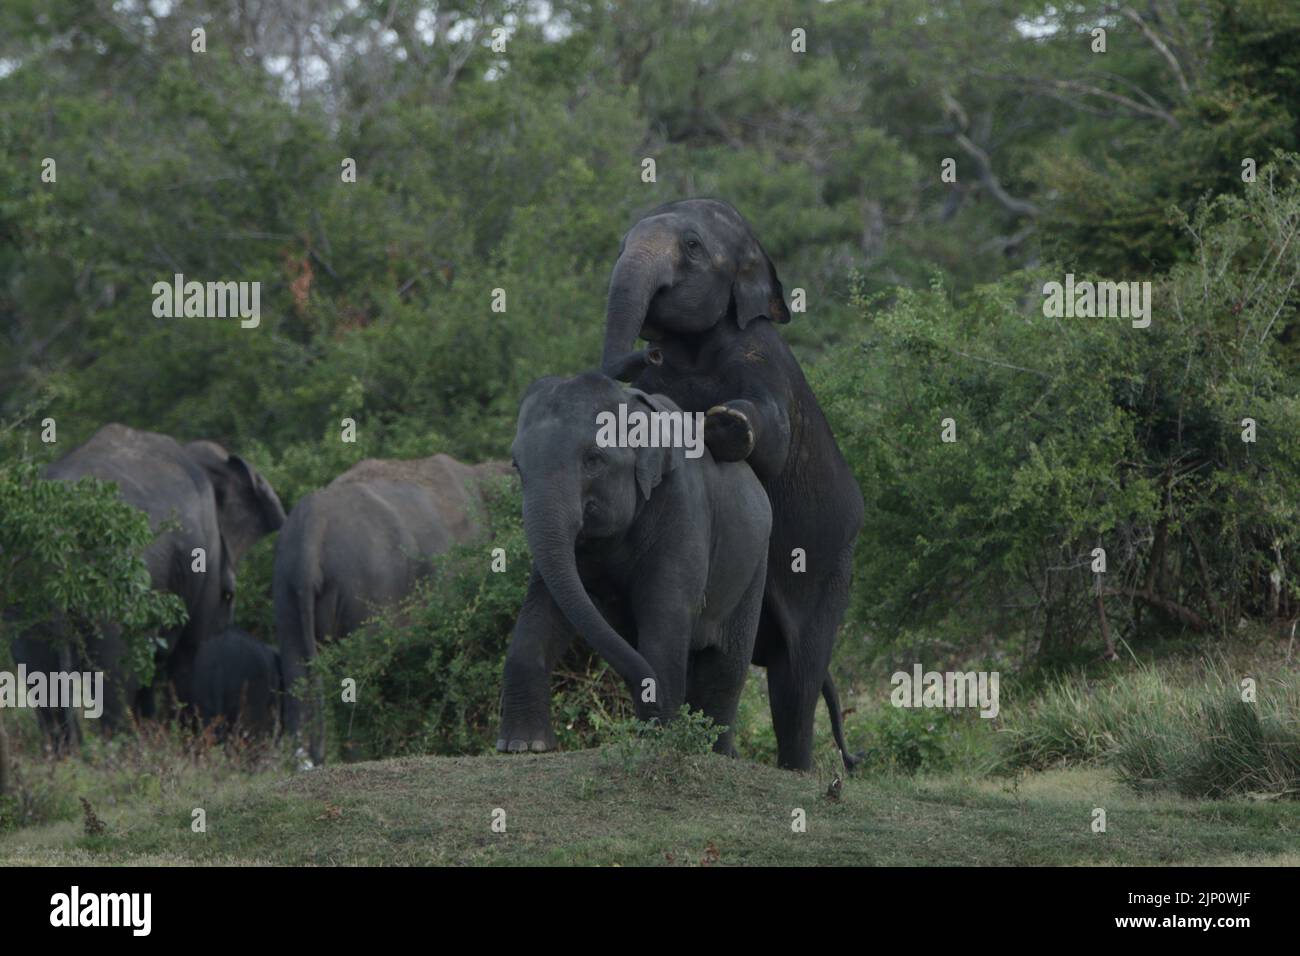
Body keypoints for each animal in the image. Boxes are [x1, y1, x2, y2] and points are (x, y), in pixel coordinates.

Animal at [9, 424, 286, 747]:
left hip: (24, 585)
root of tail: (56, 528)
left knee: (40, 673)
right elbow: (189, 653)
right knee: (115, 677)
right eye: (228, 596)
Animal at [497, 371, 771, 756]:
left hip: (755, 564)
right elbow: (545, 605)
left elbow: (665, 610)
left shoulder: (683, 505)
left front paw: (663, 739)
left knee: (726, 665)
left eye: (593, 460)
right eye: (517, 467)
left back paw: (714, 749)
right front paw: (522, 746)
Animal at [600, 198, 864, 770]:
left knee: (795, 680)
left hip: (833, 569)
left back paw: (798, 771)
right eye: (620, 245)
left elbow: (774, 437)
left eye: (693, 246)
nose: (648, 353)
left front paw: (726, 424)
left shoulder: (762, 356)